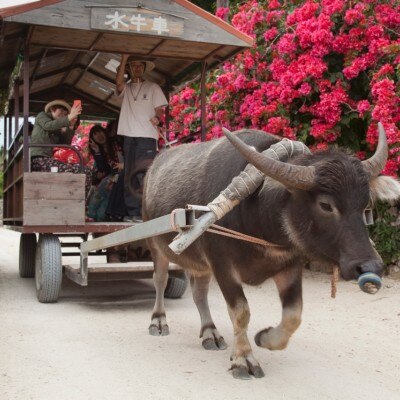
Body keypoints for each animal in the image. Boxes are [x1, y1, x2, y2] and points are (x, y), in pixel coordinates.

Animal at [142, 124, 398, 378]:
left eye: (365, 205)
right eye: (326, 205)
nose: (371, 266)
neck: (260, 222)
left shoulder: (289, 265)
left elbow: (294, 314)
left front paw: (265, 339)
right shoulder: (222, 265)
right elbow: (240, 311)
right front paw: (243, 359)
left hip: (199, 262)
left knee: (199, 292)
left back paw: (209, 332)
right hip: (156, 246)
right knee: (160, 280)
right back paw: (158, 321)